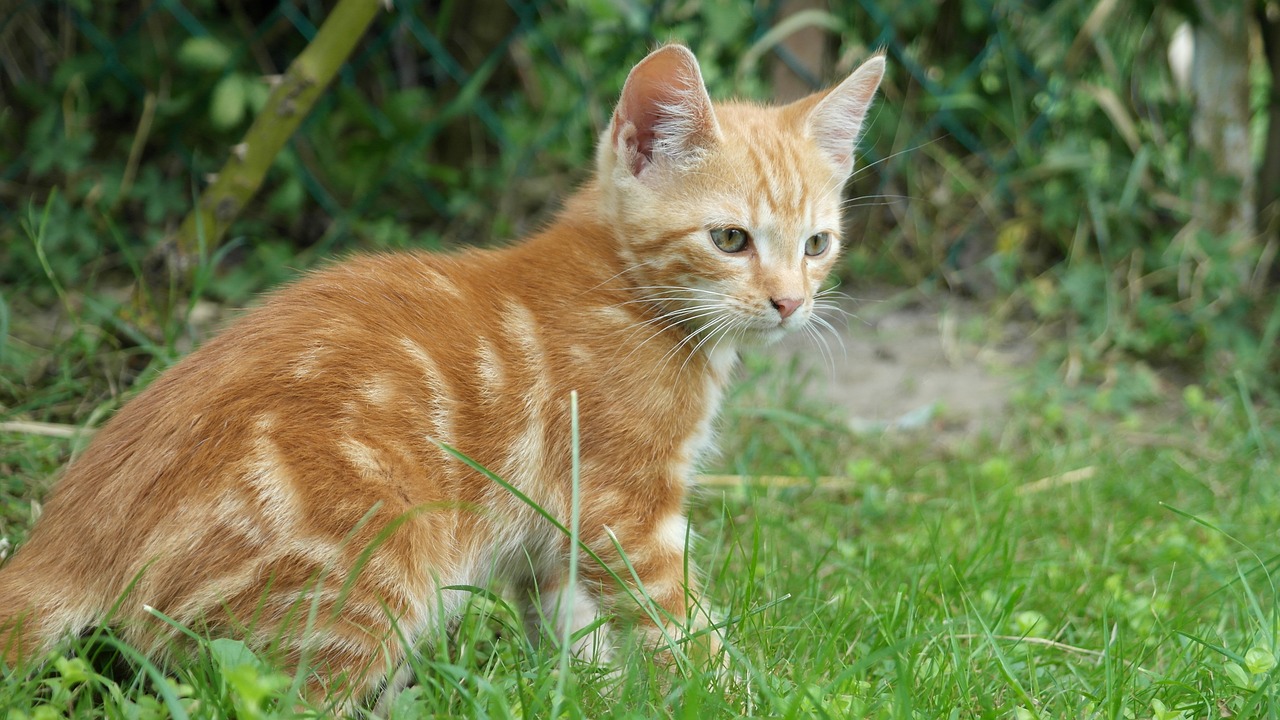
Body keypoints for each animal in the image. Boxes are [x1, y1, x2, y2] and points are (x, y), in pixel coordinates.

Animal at [0, 43, 880, 707]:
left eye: (818, 244)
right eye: (730, 239)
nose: (790, 303)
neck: (626, 293)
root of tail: (68, 535)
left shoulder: (553, 525)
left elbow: (567, 623)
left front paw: (583, 691)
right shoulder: (625, 511)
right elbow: (682, 628)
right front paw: (741, 697)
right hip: (366, 569)